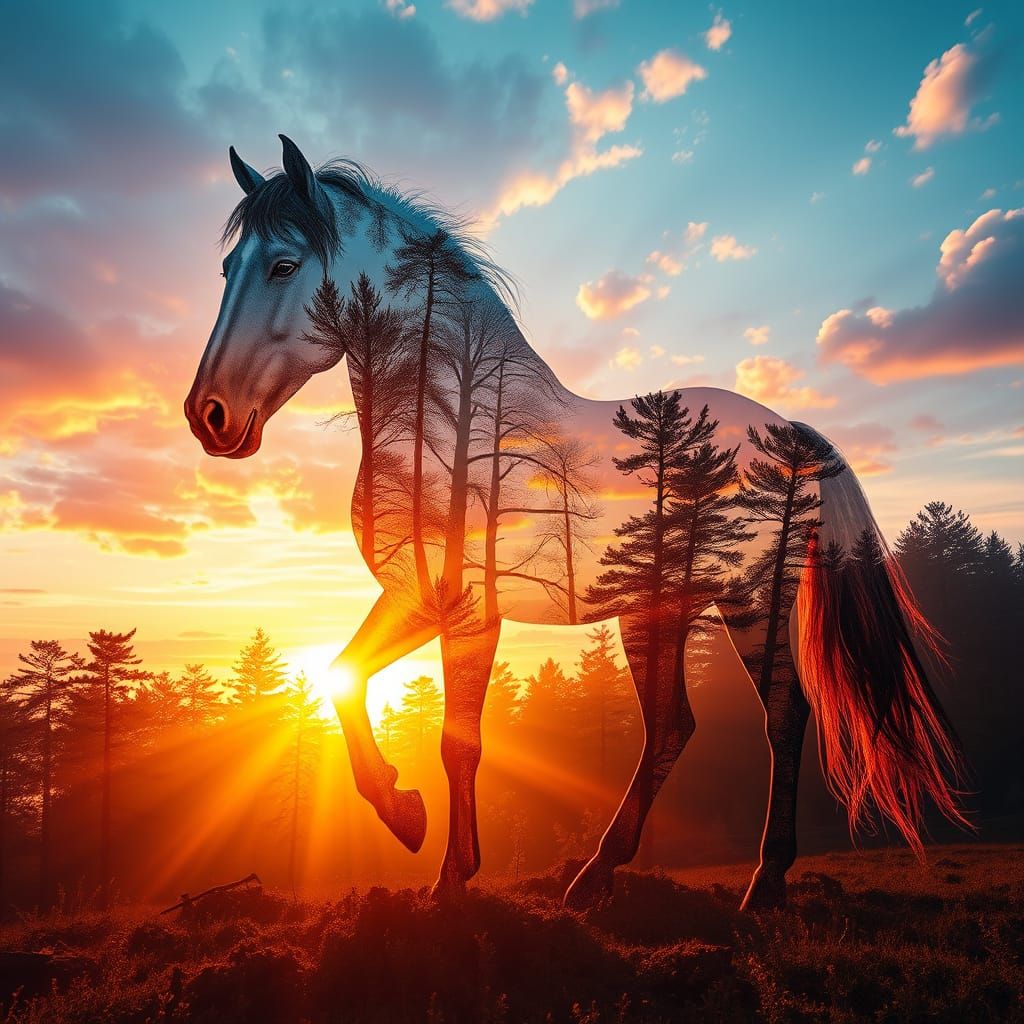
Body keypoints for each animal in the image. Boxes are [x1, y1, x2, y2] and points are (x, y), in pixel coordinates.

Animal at [185, 136, 964, 910]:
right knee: (672, 727)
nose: (208, 416)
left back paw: (761, 886)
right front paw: (411, 820)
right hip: (659, 608)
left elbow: (455, 739)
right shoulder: (414, 596)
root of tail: (794, 436)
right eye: (225, 268)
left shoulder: (466, 610)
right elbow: (344, 677)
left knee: (782, 716)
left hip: (752, 602)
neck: (456, 418)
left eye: (285, 264)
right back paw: (594, 879)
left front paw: (441, 867)